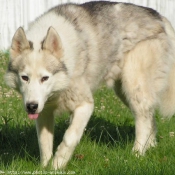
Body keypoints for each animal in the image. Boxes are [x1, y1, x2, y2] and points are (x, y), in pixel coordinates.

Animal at [4, 0, 175, 169]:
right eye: (24, 78)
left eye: (45, 78)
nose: (31, 106)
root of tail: (159, 16)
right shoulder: (44, 111)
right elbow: (44, 143)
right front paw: (45, 168)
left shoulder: (85, 105)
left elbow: (70, 137)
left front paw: (58, 164)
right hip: (124, 91)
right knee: (149, 116)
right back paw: (149, 148)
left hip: (133, 86)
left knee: (143, 121)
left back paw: (137, 154)